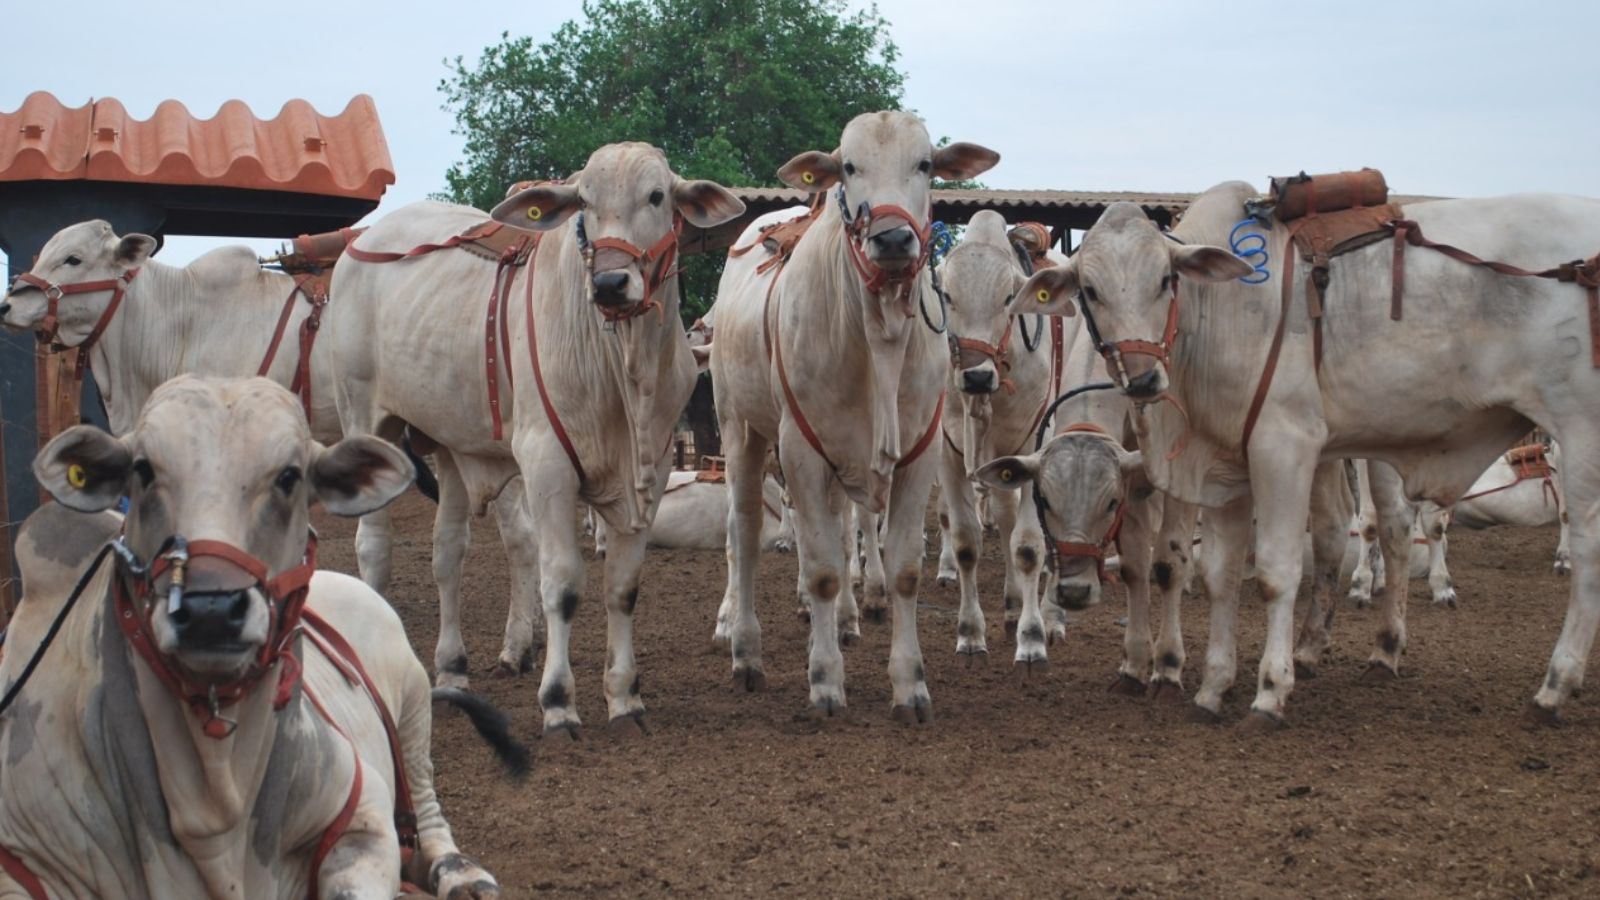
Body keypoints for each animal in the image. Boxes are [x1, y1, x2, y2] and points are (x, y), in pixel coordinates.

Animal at [0, 373, 524, 896]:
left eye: (290, 476)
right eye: (142, 470)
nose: (210, 609)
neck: (214, 809)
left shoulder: (364, 817)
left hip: (414, 706)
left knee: (425, 807)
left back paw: (459, 872)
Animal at [486, 143, 742, 736]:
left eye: (657, 195)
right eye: (583, 202)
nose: (608, 285)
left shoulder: (649, 472)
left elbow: (623, 589)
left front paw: (625, 696)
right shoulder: (547, 467)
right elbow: (561, 585)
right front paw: (558, 702)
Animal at [716, 112, 998, 717]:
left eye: (926, 163)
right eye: (848, 166)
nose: (891, 238)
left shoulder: (919, 451)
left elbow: (903, 567)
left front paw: (910, 683)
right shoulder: (799, 449)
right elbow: (822, 570)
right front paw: (824, 680)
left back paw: (842, 620)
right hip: (739, 428)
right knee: (745, 534)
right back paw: (745, 650)